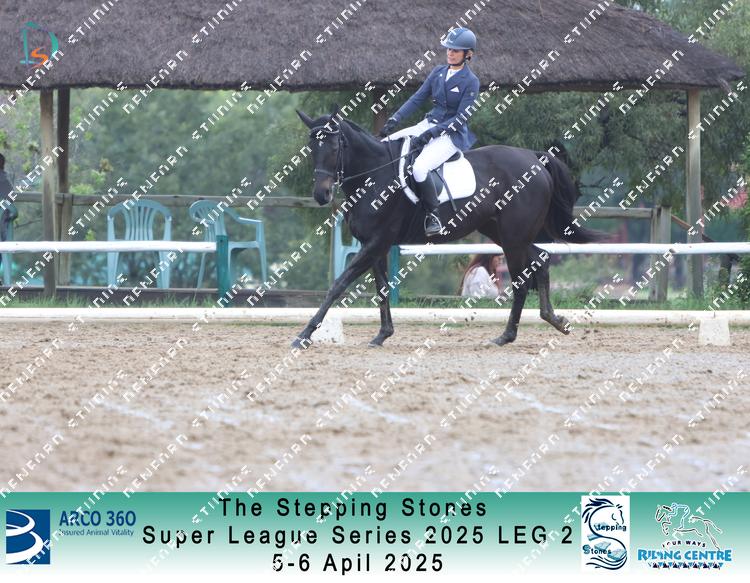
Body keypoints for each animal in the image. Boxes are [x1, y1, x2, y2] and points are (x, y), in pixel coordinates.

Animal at [291, 104, 601, 349]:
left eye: (334, 147)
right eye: (311, 148)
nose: (321, 195)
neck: (374, 176)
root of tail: (534, 157)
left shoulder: (377, 241)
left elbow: (338, 285)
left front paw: (304, 335)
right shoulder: (375, 245)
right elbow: (381, 289)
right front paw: (382, 335)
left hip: (513, 237)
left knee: (521, 281)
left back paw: (506, 336)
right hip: (504, 233)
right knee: (541, 259)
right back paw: (554, 319)